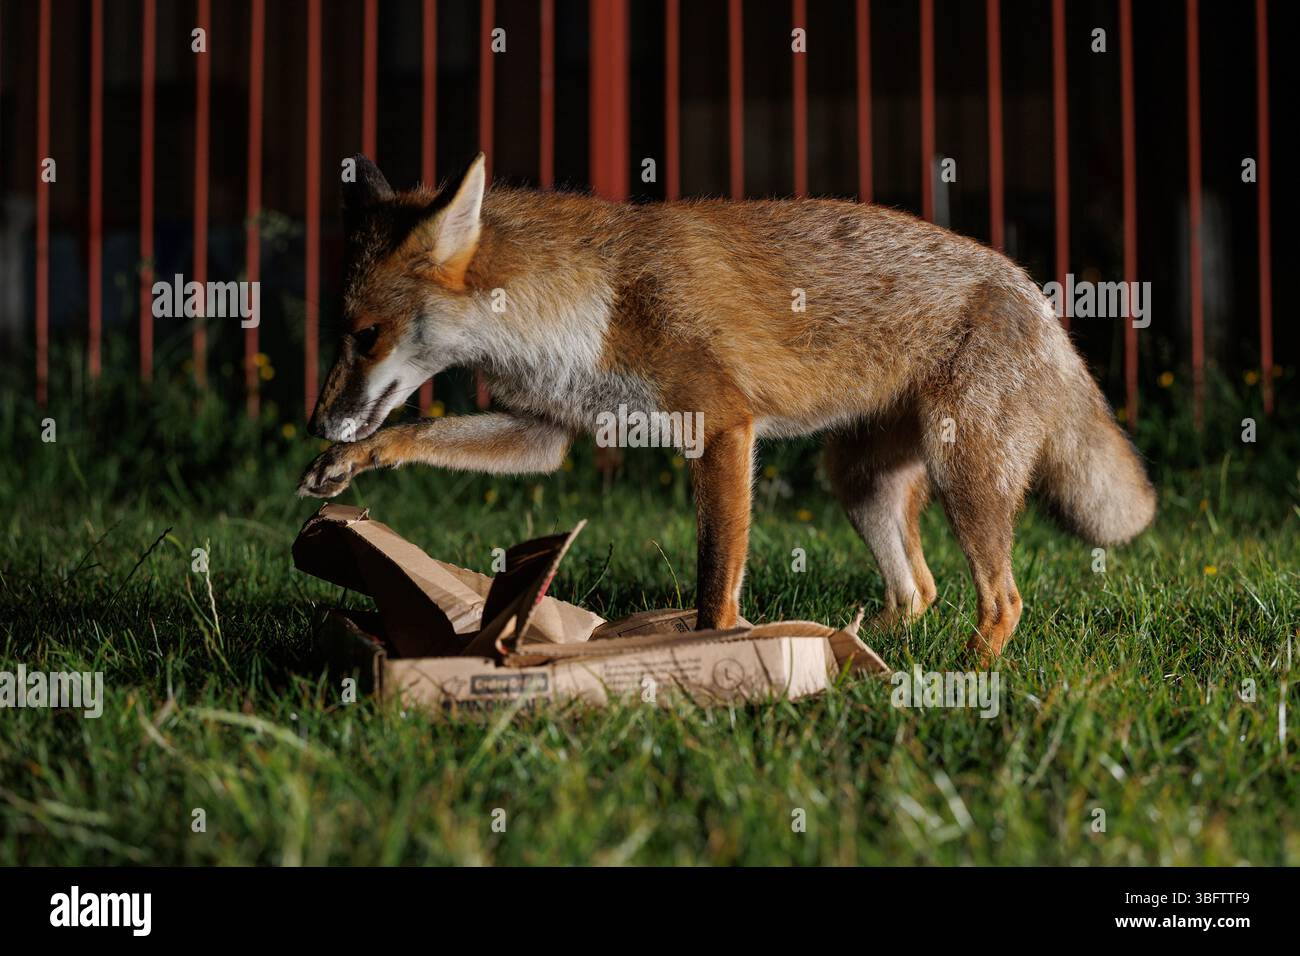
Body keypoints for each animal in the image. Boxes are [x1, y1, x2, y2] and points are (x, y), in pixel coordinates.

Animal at [299, 152, 1156, 660]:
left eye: (366, 335)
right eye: (342, 331)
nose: (318, 422)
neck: (587, 309)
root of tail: (1039, 297)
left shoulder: (722, 429)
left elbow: (715, 589)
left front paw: (714, 660)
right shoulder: (546, 432)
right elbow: (421, 428)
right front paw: (348, 461)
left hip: (963, 475)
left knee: (1003, 601)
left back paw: (965, 676)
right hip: (860, 483)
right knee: (920, 590)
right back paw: (860, 649)